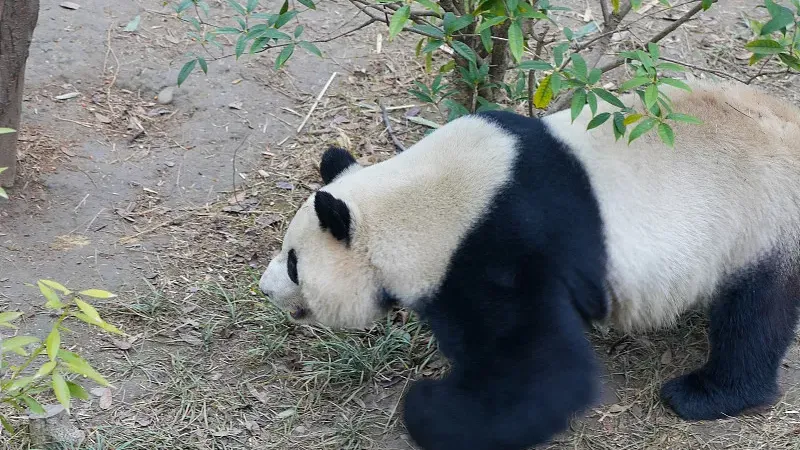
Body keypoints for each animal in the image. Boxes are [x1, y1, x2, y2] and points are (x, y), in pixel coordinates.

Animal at [259, 79, 800, 450]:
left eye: (294, 264)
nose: (265, 289)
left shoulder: (497, 248)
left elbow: (544, 369)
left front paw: (429, 406)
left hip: (762, 221)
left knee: (754, 316)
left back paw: (704, 393)